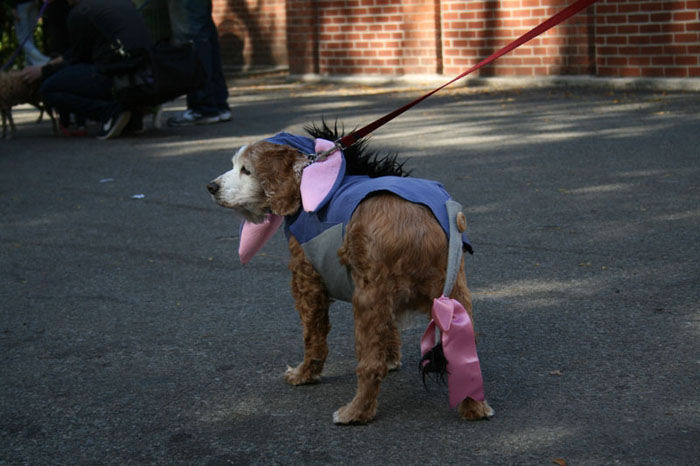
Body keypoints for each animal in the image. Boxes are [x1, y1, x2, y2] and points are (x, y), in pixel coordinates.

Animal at [208, 123, 492, 422]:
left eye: (246, 170)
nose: (211, 187)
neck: (308, 178)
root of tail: (423, 227)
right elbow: (390, 332)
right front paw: (392, 357)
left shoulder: (308, 283)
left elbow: (313, 337)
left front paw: (304, 374)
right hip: (454, 293)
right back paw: (474, 407)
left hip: (368, 300)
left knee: (370, 365)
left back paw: (356, 411)